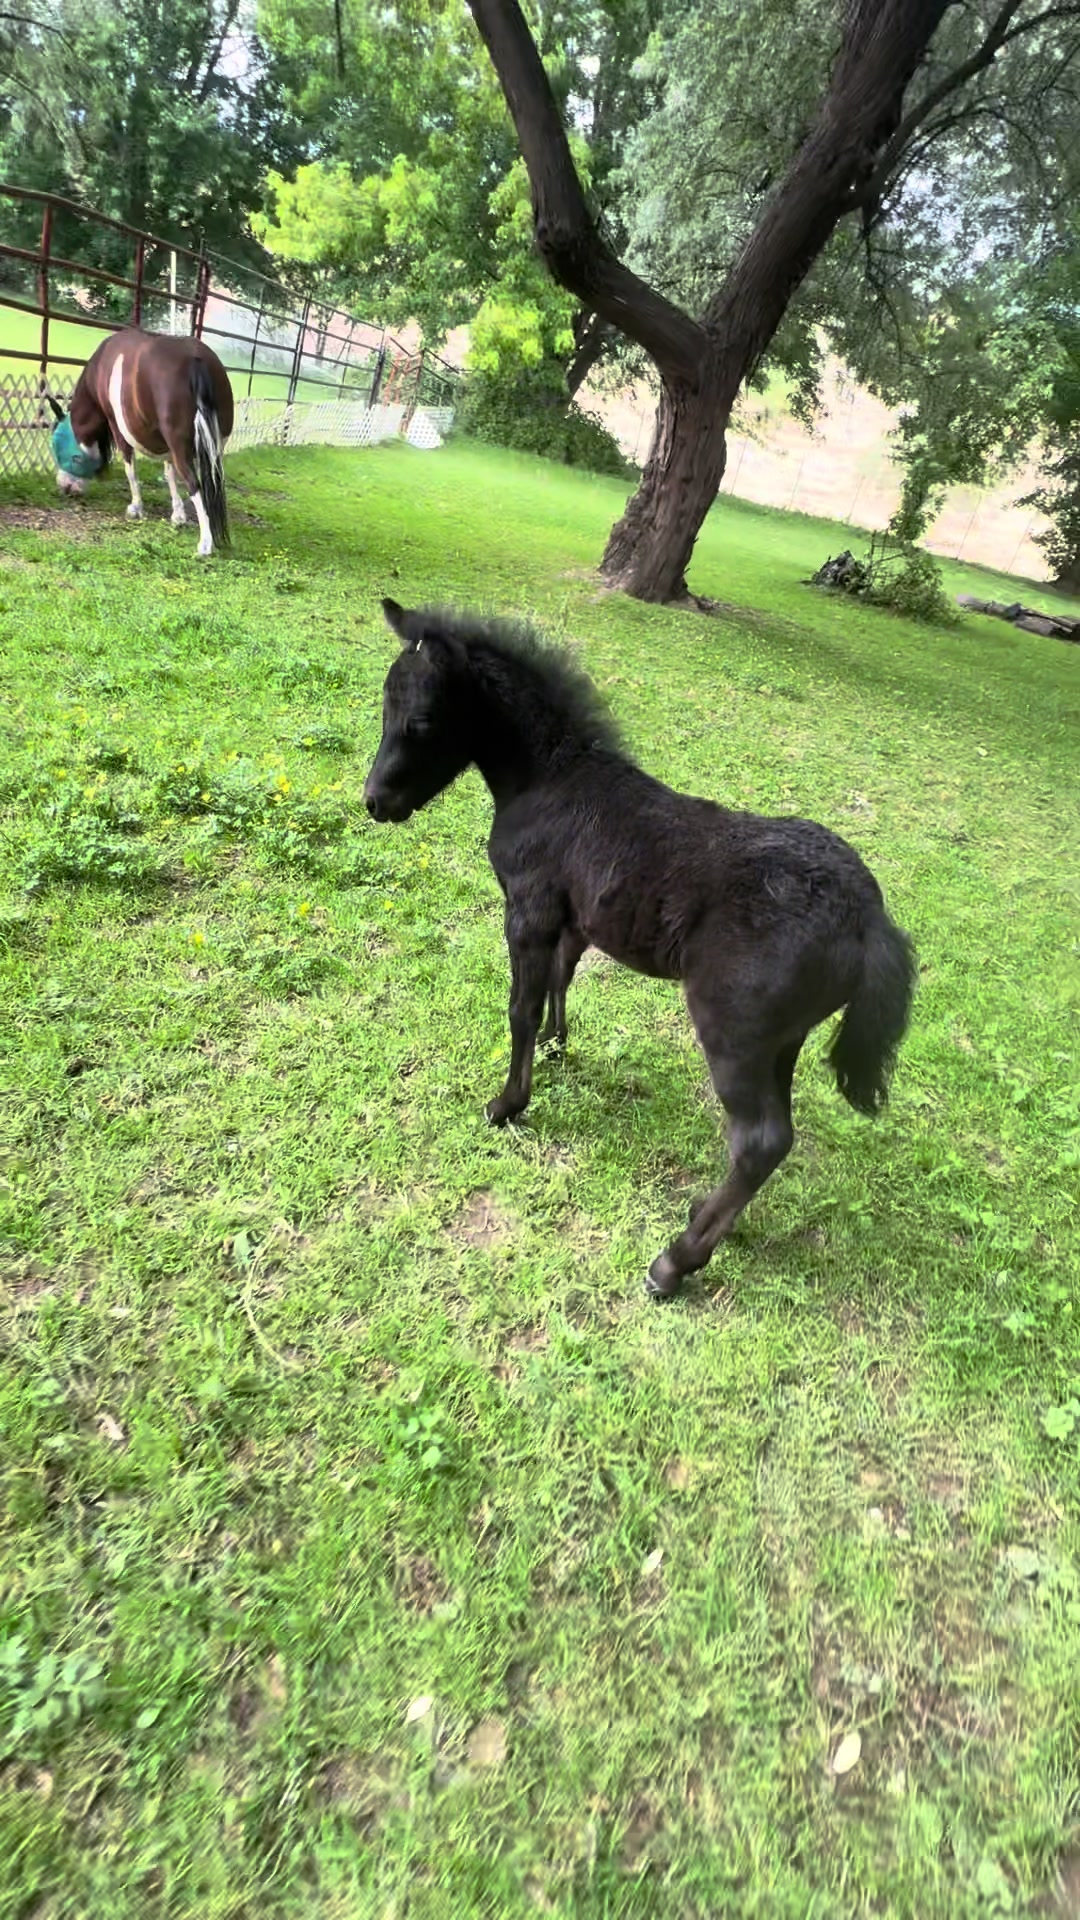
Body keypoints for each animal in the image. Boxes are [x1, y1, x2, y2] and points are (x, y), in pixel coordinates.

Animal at [47, 329, 233, 556]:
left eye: (58, 448)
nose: (64, 487)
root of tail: (196, 359)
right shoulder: (169, 445)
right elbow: (169, 473)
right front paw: (178, 515)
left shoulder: (117, 426)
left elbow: (130, 469)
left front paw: (136, 507)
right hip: (214, 446)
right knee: (213, 484)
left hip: (182, 446)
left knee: (194, 484)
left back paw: (206, 543)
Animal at [363, 599, 917, 1299]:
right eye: (383, 704)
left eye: (423, 720)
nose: (376, 802)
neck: (550, 781)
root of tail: (870, 919)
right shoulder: (576, 919)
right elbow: (562, 978)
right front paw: (558, 1045)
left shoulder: (529, 912)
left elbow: (519, 1007)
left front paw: (508, 1104)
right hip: (783, 1039)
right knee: (776, 1135)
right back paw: (705, 1219)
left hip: (732, 1031)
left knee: (760, 1140)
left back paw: (674, 1263)